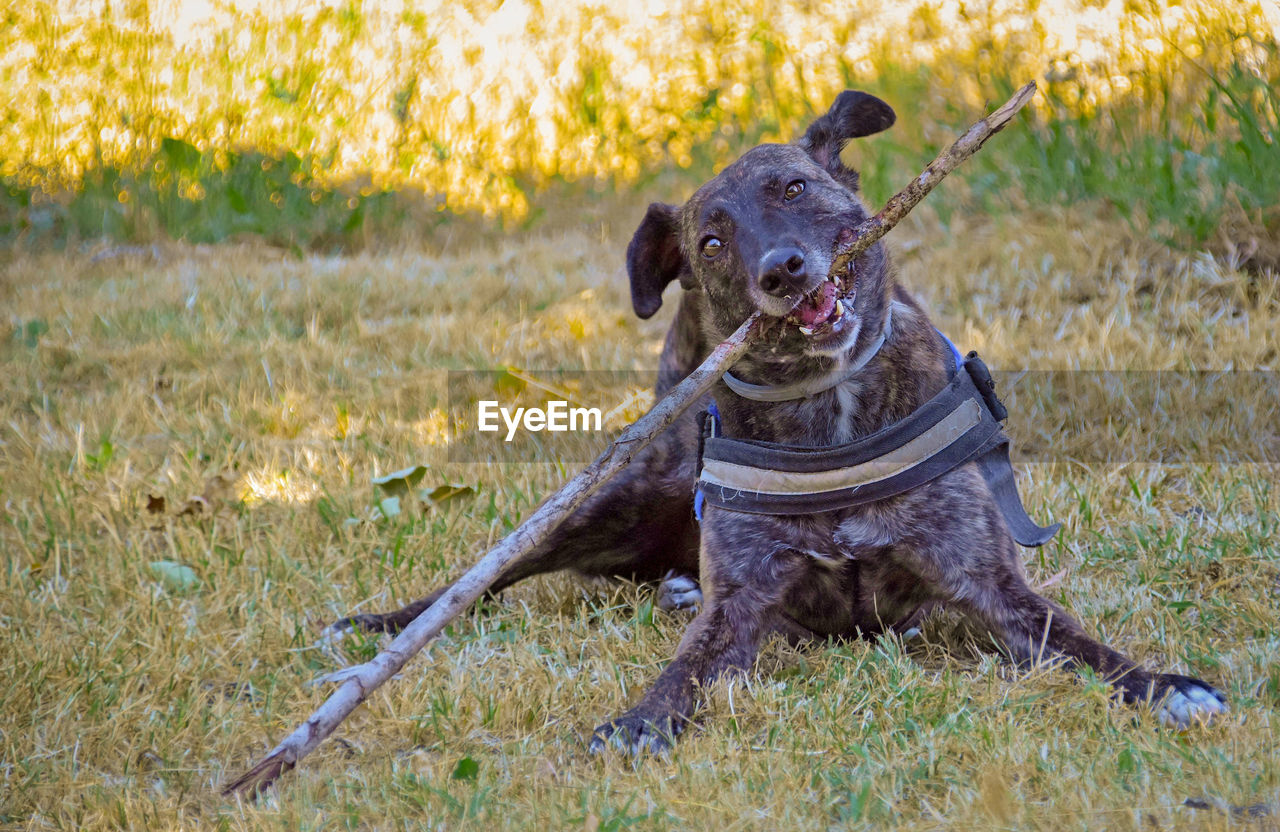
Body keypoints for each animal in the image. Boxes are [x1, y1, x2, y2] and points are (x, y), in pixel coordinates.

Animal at [335, 92, 1223, 752]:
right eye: (712, 242)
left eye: (793, 190)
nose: (782, 270)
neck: (832, 410)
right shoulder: (741, 605)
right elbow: (685, 668)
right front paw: (639, 719)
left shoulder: (987, 581)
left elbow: (1076, 639)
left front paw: (1163, 685)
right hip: (615, 500)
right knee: (491, 578)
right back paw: (379, 627)